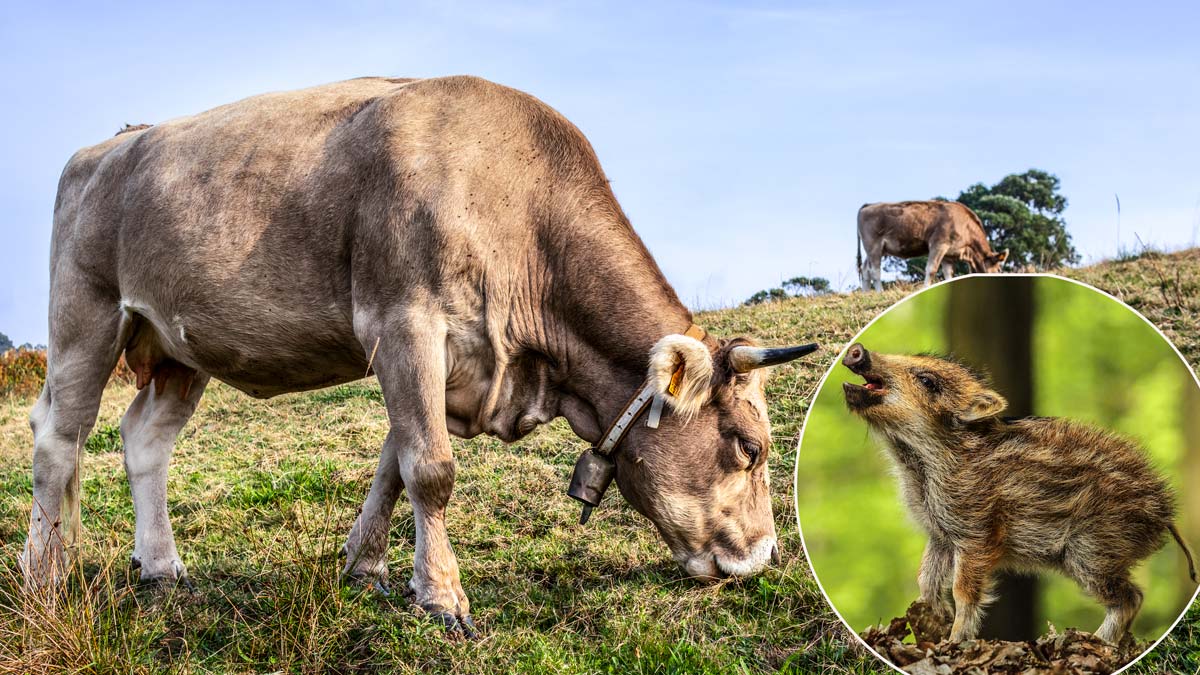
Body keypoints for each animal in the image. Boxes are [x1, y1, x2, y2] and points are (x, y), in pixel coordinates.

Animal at [21, 76, 818, 636]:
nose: (762, 556)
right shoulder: (404, 324)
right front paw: (442, 598)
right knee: (59, 439)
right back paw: (44, 574)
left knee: (144, 439)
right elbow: (431, 469)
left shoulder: (442, 360)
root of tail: (114, 142)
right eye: (749, 446)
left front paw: (366, 566)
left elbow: (394, 466)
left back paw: (161, 568)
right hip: (86, 314)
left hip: (178, 345)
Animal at [856, 200, 1008, 291]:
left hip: (877, 249)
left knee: (865, 269)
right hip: (873, 245)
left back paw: (867, 294)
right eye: (998, 270)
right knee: (874, 271)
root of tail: (869, 205)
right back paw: (880, 292)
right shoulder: (938, 244)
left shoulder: (949, 254)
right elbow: (931, 269)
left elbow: (948, 274)